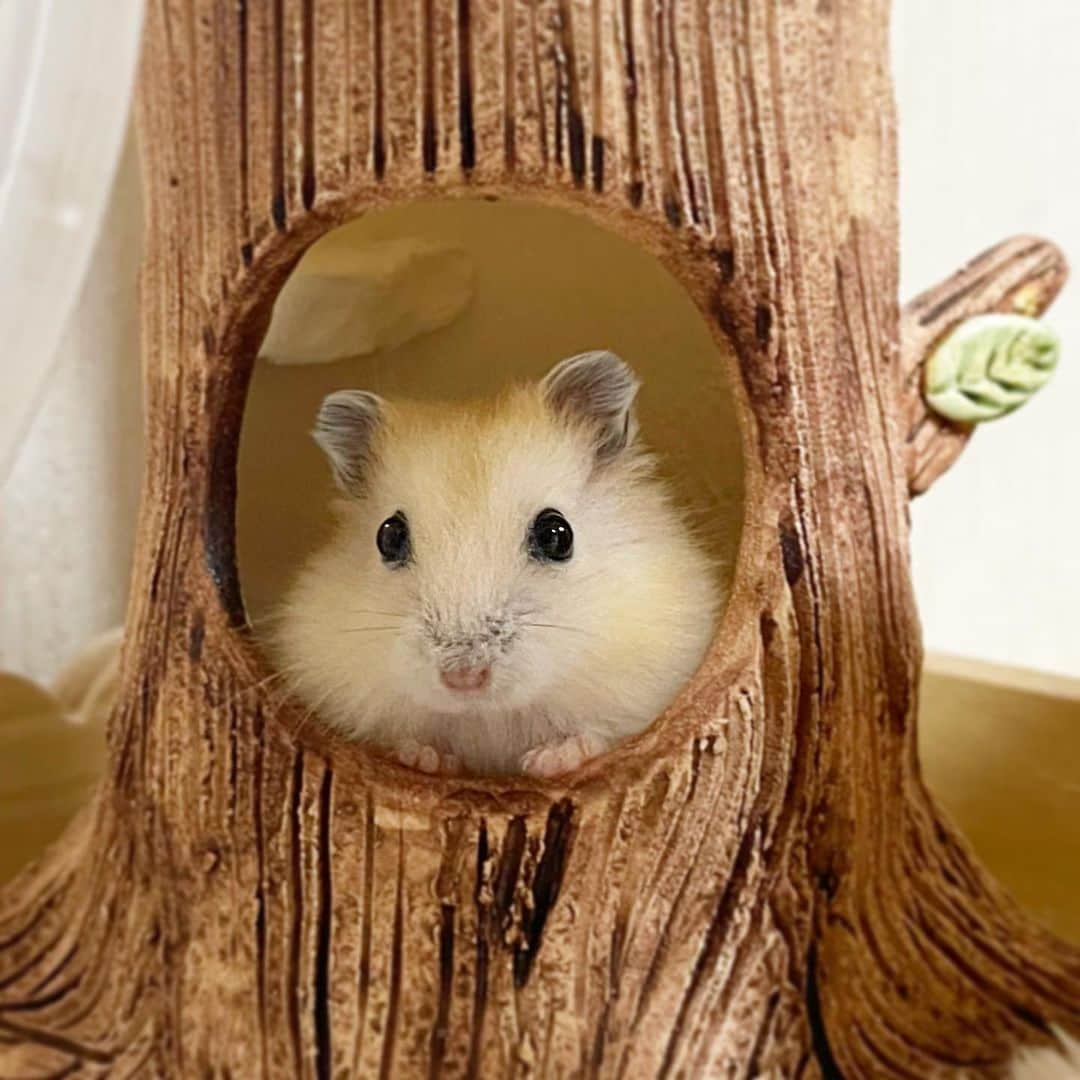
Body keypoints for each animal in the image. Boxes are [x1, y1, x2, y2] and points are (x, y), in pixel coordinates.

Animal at [271, 351, 719, 777]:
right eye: (389, 537)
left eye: (556, 535)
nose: (463, 677)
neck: (489, 714)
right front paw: (424, 758)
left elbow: (599, 733)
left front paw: (549, 760)